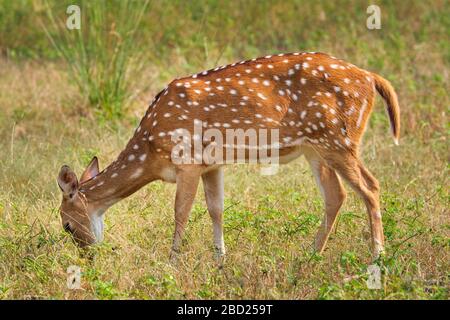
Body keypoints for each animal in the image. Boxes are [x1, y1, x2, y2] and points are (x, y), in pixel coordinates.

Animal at [57, 51, 400, 262]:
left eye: (66, 225)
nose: (88, 257)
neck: (151, 151)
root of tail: (371, 77)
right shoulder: (212, 164)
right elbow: (216, 209)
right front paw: (220, 258)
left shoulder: (188, 159)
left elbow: (180, 211)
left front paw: (172, 260)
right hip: (316, 147)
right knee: (336, 194)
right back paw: (312, 253)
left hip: (338, 139)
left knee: (370, 186)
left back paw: (377, 256)